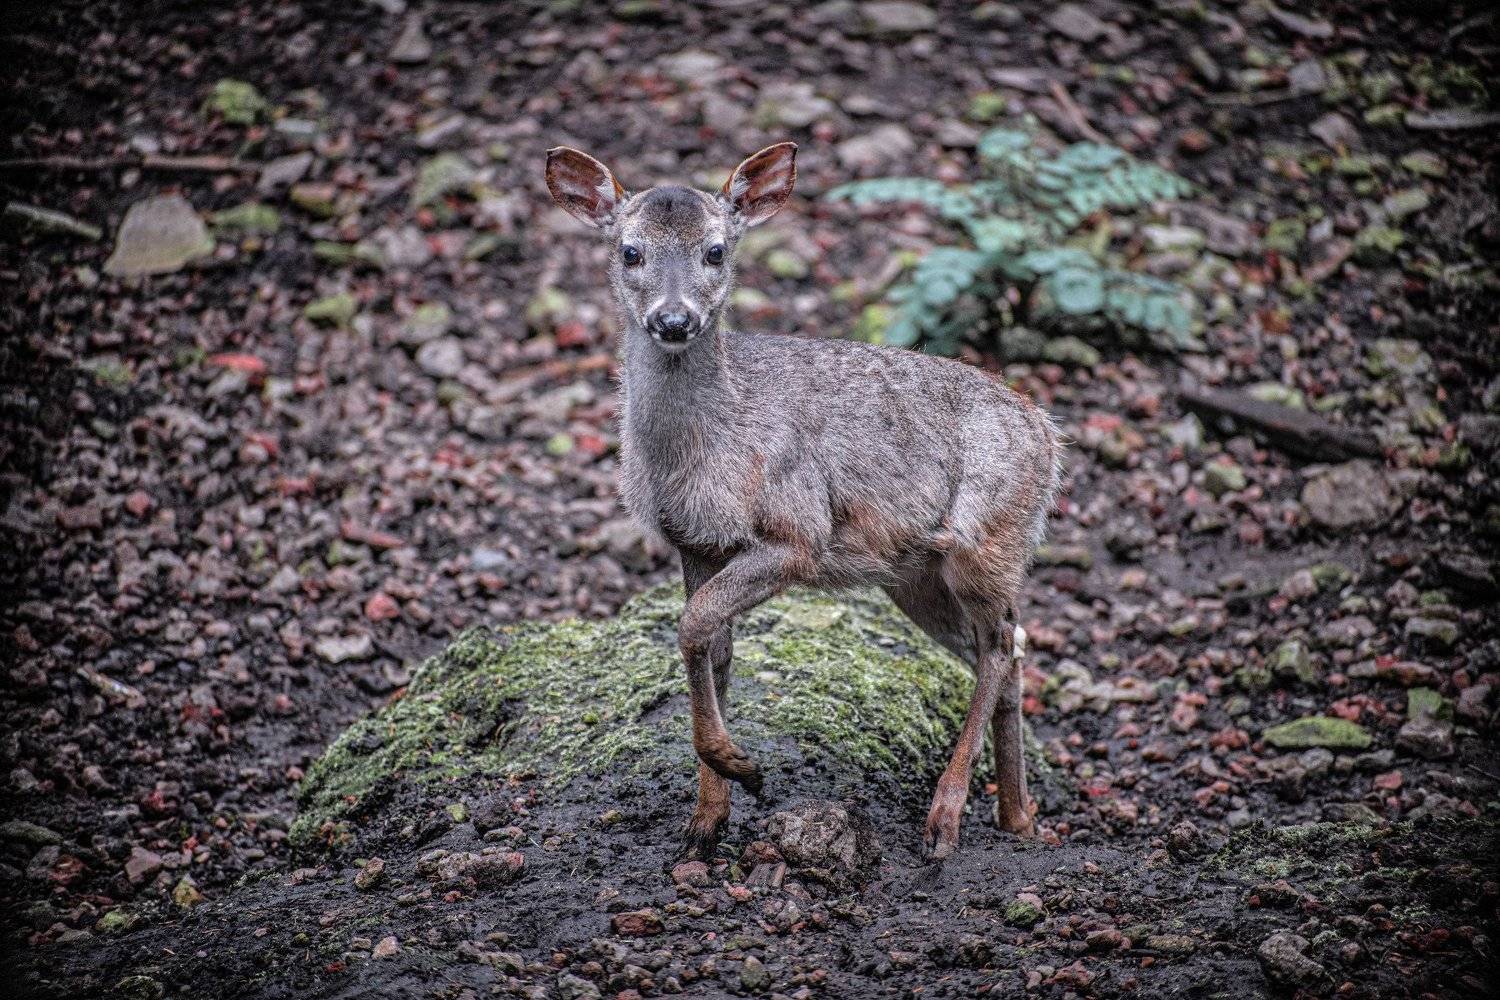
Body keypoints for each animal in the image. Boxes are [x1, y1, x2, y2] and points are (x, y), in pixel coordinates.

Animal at [545, 141, 1061, 862]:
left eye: (716, 250)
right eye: (629, 251)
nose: (674, 320)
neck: (705, 448)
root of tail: (1048, 435)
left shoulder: (798, 531)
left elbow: (692, 625)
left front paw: (741, 768)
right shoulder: (695, 542)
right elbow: (714, 649)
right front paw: (708, 816)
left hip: (984, 536)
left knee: (997, 646)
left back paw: (946, 816)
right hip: (917, 574)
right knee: (1009, 649)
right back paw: (1018, 818)